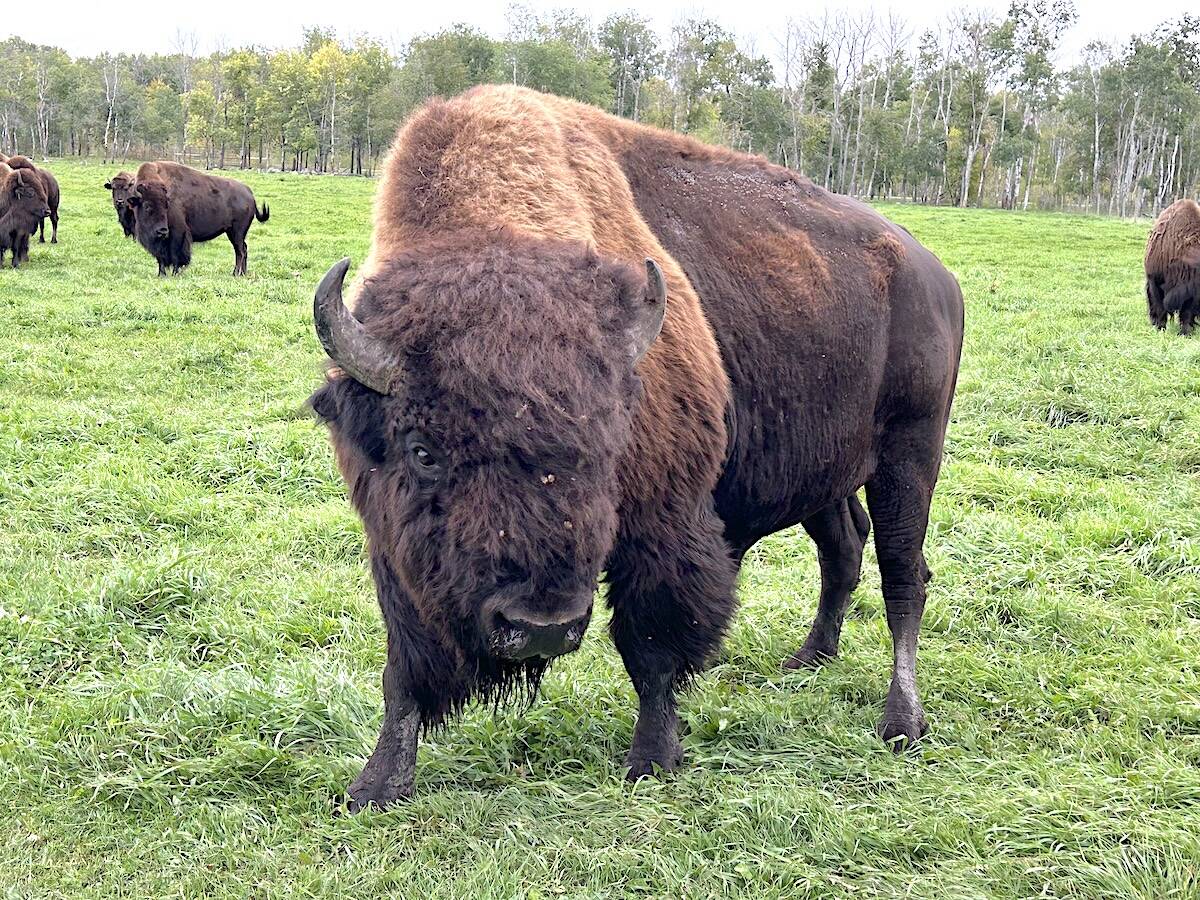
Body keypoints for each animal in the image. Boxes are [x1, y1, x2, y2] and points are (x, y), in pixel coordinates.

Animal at [126, 161, 269, 276]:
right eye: (147, 205)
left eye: (166, 205)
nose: (162, 230)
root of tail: (249, 194)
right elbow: (161, 258)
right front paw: (161, 275)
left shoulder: (177, 234)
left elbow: (176, 255)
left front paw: (175, 273)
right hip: (233, 232)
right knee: (242, 249)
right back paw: (241, 273)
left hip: (237, 232)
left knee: (240, 251)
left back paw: (236, 273)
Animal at [309, 86, 964, 810]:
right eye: (422, 450)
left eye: (609, 445)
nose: (541, 627)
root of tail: (934, 274)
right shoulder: (394, 551)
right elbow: (404, 668)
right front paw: (375, 786)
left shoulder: (663, 527)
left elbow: (649, 645)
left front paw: (652, 759)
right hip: (829, 468)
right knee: (843, 547)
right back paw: (808, 660)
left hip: (910, 456)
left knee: (904, 576)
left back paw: (901, 722)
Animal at [1146, 198, 1200, 335]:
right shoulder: (1154, 281)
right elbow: (1159, 307)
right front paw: (1160, 328)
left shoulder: (1191, 292)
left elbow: (1186, 312)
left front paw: (1185, 332)